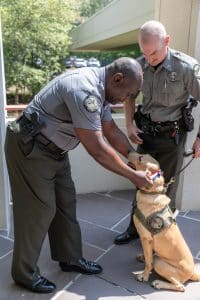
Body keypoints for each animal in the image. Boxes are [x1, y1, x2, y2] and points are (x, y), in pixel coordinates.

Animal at [128, 151, 200, 292]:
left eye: (140, 158)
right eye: (143, 154)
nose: (128, 151)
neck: (151, 193)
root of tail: (192, 272)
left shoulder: (146, 238)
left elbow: (149, 262)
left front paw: (144, 275)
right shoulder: (147, 241)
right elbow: (148, 255)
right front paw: (143, 257)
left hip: (160, 262)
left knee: (180, 286)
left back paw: (158, 283)